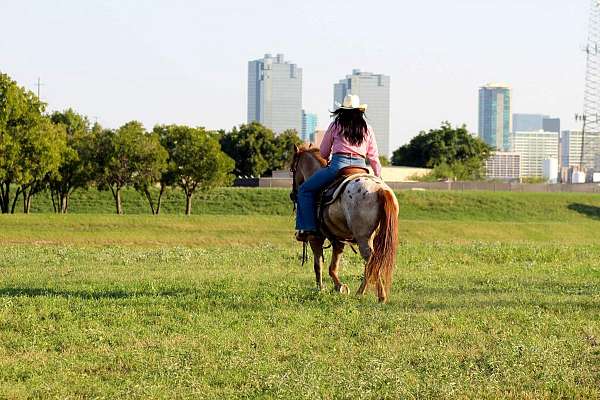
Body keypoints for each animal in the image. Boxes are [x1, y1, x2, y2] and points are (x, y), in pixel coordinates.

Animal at [290, 145, 398, 304]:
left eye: (292, 169)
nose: (293, 194)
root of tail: (379, 189)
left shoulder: (316, 238)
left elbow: (318, 265)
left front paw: (321, 289)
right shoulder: (338, 241)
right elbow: (333, 267)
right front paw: (338, 287)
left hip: (363, 238)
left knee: (371, 260)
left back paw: (374, 295)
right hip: (376, 238)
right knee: (373, 261)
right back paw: (367, 293)